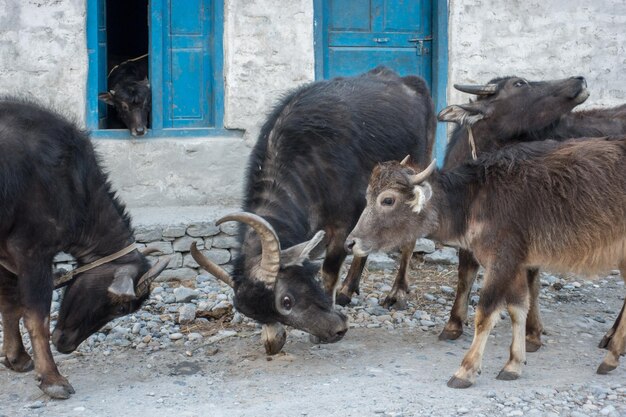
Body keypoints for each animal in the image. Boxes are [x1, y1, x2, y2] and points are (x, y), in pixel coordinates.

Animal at [0, 97, 166, 396]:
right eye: (122, 308)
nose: (66, 345)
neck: (71, 181)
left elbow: (9, 303)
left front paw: (16, 357)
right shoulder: (32, 253)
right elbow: (36, 316)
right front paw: (53, 379)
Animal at [191, 66, 434, 352]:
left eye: (286, 301)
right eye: (254, 314)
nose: (336, 331)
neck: (307, 162)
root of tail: (408, 81)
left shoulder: (341, 225)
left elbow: (329, 269)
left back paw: (396, 293)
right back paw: (347, 290)